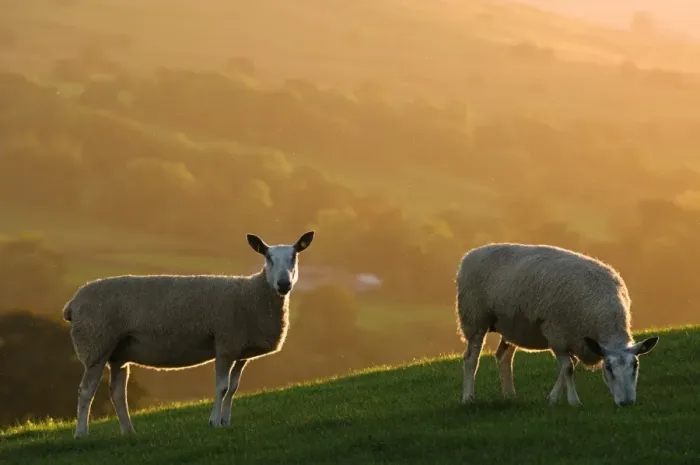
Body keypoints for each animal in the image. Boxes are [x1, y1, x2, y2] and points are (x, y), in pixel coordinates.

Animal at [62, 230, 315, 438]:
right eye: (268, 257)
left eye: (294, 256)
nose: (283, 284)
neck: (253, 294)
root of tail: (72, 304)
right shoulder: (225, 344)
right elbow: (221, 387)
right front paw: (214, 422)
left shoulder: (240, 350)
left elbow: (233, 388)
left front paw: (226, 421)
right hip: (96, 343)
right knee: (86, 391)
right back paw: (81, 433)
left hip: (118, 353)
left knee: (117, 393)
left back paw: (128, 432)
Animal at [455, 242, 659, 408]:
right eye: (608, 368)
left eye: (635, 366)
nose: (627, 403)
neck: (605, 317)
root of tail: (471, 254)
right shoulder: (557, 333)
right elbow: (568, 368)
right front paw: (574, 401)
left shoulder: (574, 338)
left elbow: (568, 366)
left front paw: (552, 398)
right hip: (475, 318)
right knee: (471, 359)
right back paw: (468, 398)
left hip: (512, 326)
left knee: (503, 357)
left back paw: (509, 396)